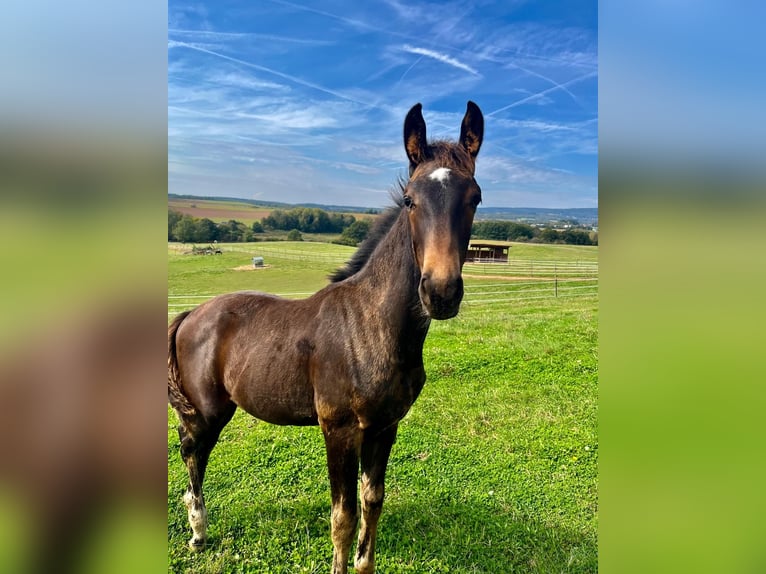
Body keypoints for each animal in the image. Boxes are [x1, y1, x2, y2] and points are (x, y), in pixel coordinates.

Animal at [170, 101, 486, 572]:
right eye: (410, 200)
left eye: (475, 197)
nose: (441, 292)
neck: (372, 325)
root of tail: (192, 314)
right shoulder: (338, 429)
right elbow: (343, 516)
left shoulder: (384, 428)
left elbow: (372, 502)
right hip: (209, 410)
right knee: (193, 449)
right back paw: (197, 532)